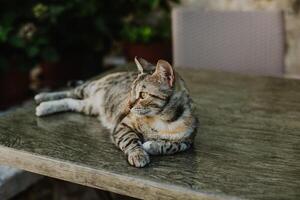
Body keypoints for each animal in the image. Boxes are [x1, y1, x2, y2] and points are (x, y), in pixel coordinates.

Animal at [35, 57, 198, 167]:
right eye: (131, 91)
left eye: (143, 95)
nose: (128, 106)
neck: (163, 120)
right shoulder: (121, 125)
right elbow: (130, 139)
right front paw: (138, 153)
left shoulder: (188, 141)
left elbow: (172, 146)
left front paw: (151, 146)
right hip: (88, 88)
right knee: (70, 92)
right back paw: (42, 97)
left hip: (88, 106)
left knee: (71, 101)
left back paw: (44, 107)